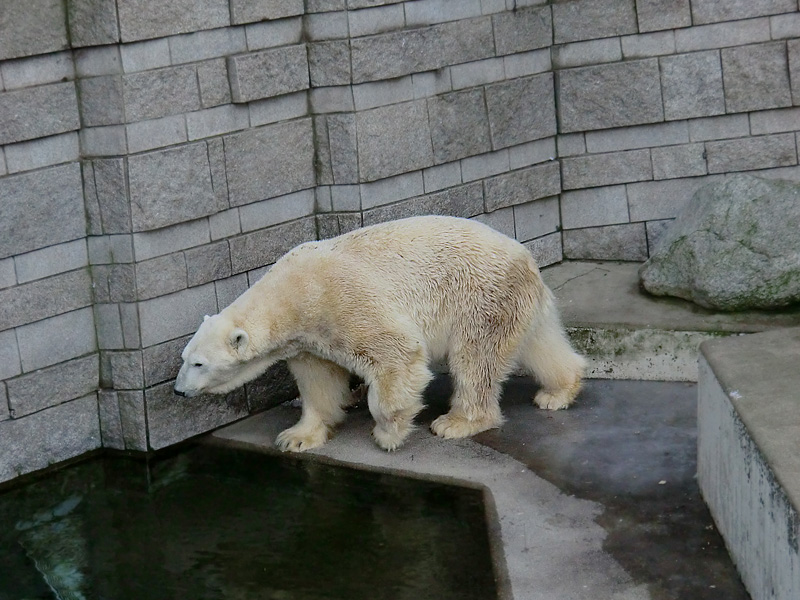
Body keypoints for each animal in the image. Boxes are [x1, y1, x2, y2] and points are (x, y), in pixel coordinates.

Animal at [175, 214, 584, 450]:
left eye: (198, 364)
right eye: (185, 358)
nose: (178, 391)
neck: (292, 294)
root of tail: (527, 258)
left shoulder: (339, 302)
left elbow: (397, 353)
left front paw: (389, 432)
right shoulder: (308, 340)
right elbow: (318, 380)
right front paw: (297, 436)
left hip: (479, 297)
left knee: (474, 358)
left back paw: (456, 422)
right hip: (513, 301)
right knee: (538, 343)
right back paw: (559, 391)